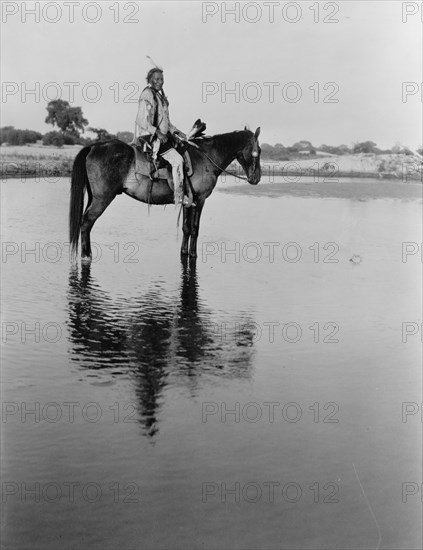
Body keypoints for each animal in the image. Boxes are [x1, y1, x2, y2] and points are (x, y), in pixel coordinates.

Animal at [69, 128, 262, 262]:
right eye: (258, 151)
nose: (257, 178)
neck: (207, 157)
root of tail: (94, 146)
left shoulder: (188, 201)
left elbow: (186, 228)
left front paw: (184, 252)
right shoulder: (199, 200)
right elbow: (195, 228)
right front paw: (193, 254)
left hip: (94, 197)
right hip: (102, 198)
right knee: (86, 222)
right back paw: (86, 255)